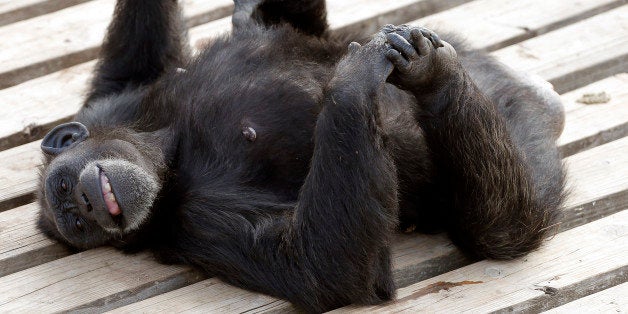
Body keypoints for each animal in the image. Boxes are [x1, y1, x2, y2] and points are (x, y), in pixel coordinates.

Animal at [36, 0, 568, 310]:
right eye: (78, 227)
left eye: (63, 188)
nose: (84, 205)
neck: (170, 150)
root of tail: (539, 102)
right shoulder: (197, 226)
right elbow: (319, 267)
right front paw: (351, 81)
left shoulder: (117, 98)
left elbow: (141, 49)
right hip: (526, 163)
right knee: (501, 227)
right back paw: (437, 79)